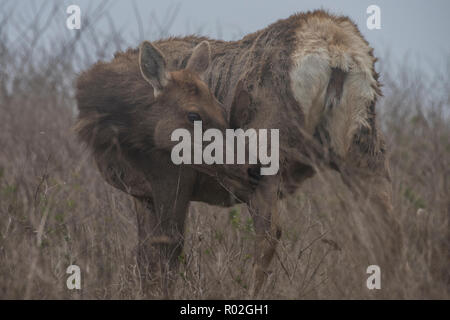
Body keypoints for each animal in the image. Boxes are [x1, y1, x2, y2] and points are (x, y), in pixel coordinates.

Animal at [75, 10, 402, 300]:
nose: (245, 166)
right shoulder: (141, 193)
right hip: (364, 148)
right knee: (387, 229)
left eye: (216, 111)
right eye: (196, 114)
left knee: (269, 233)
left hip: (269, 152)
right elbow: (145, 258)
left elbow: (167, 250)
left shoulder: (172, 176)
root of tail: (336, 53)